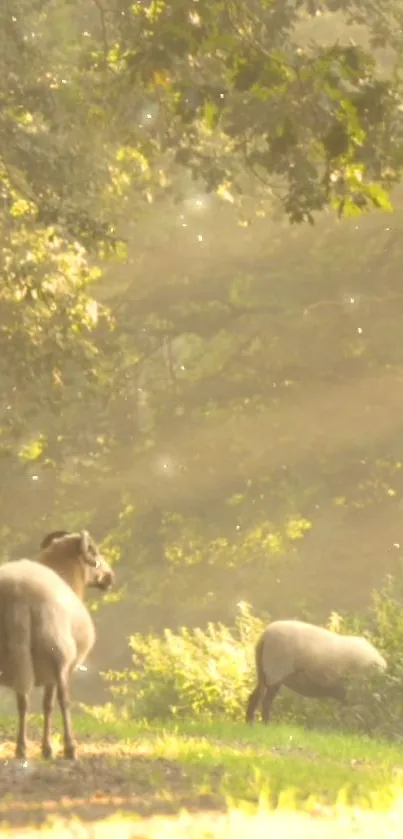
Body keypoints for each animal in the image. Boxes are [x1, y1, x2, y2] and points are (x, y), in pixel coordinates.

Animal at [0, 532, 114, 760]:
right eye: (95, 554)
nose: (110, 577)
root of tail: (19, 595)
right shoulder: (54, 668)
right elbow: (49, 704)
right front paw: (48, 748)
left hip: (16, 655)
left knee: (23, 702)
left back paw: (21, 748)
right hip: (57, 652)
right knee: (63, 700)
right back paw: (70, 747)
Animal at [246, 620, 388, 724]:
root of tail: (265, 635)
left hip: (263, 671)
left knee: (255, 696)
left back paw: (250, 722)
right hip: (275, 672)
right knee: (266, 701)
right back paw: (265, 724)